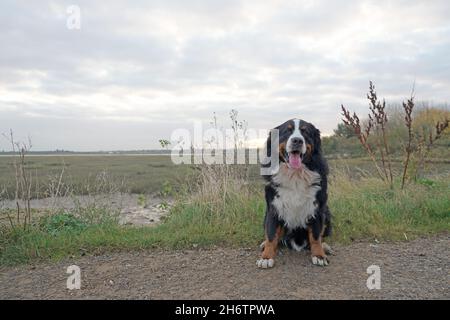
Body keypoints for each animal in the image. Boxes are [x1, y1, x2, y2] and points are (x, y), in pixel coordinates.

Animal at [256, 117, 330, 268]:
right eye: (287, 131)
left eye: (305, 132)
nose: (297, 140)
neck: (295, 175)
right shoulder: (273, 208)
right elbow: (271, 235)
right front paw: (266, 257)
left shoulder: (317, 208)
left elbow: (315, 236)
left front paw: (319, 255)